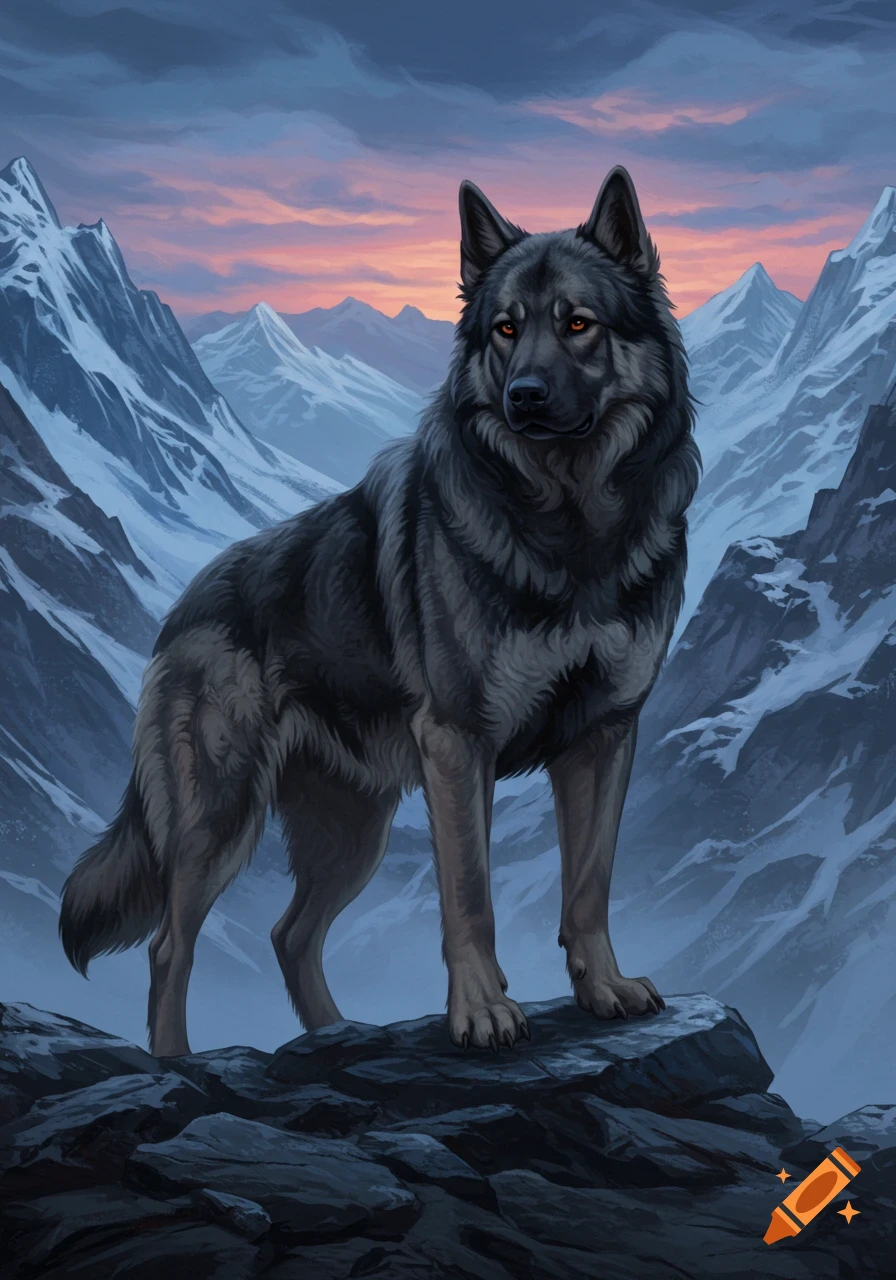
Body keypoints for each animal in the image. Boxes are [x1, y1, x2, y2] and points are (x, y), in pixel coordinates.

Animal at [59, 166, 700, 1058]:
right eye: (505, 330)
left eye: (578, 324)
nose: (524, 397)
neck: (569, 527)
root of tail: (183, 603)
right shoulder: (459, 745)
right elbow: (469, 895)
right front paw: (481, 1013)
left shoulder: (604, 737)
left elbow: (589, 885)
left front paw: (602, 987)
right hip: (218, 819)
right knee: (169, 944)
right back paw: (178, 1061)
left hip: (352, 830)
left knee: (290, 934)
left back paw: (336, 1035)